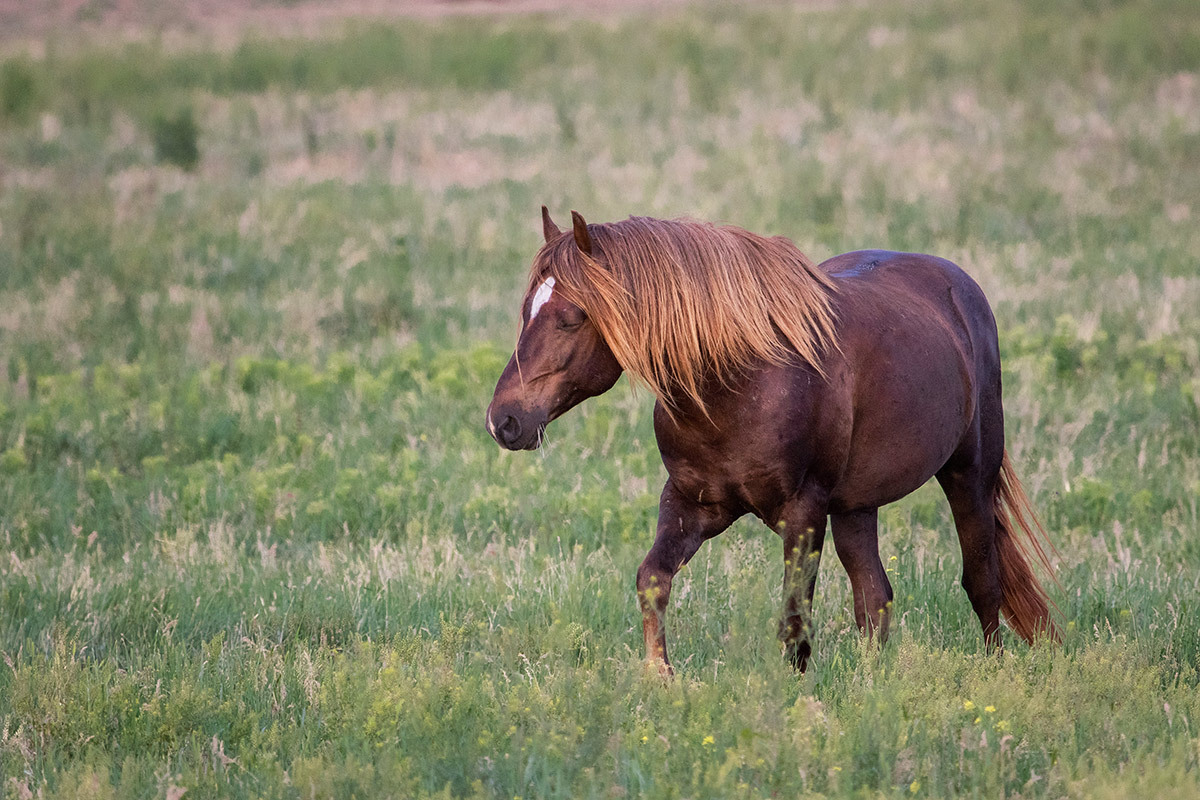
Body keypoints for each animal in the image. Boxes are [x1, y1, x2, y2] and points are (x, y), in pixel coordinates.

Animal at [482, 208, 1056, 676]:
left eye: (571, 318)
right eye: (526, 311)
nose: (503, 420)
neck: (740, 383)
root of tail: (959, 287)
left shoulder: (803, 510)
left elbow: (793, 617)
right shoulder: (693, 504)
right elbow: (652, 580)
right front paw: (660, 678)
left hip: (968, 473)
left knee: (982, 580)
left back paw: (993, 672)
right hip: (856, 505)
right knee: (874, 597)